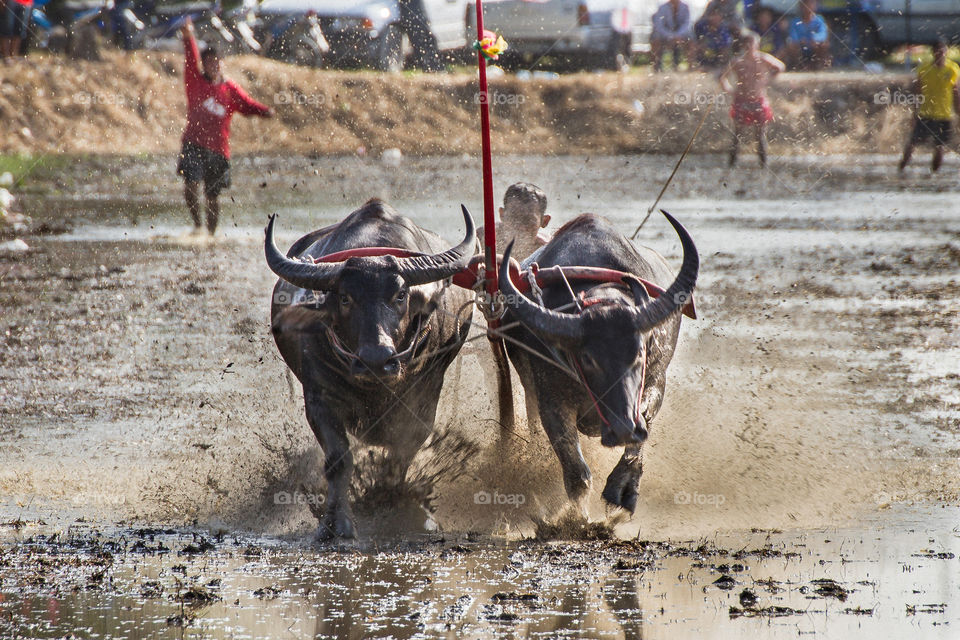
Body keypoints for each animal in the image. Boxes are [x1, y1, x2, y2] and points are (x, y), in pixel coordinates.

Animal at [262, 200, 476, 540]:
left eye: (400, 295)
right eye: (344, 297)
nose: (376, 359)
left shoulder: (424, 398)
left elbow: (402, 453)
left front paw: (395, 507)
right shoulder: (319, 399)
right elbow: (339, 460)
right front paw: (336, 524)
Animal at [496, 212, 696, 516]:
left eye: (640, 351)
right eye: (588, 358)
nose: (624, 428)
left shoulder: (655, 382)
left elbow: (642, 430)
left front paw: (622, 489)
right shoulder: (551, 401)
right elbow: (576, 473)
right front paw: (577, 519)